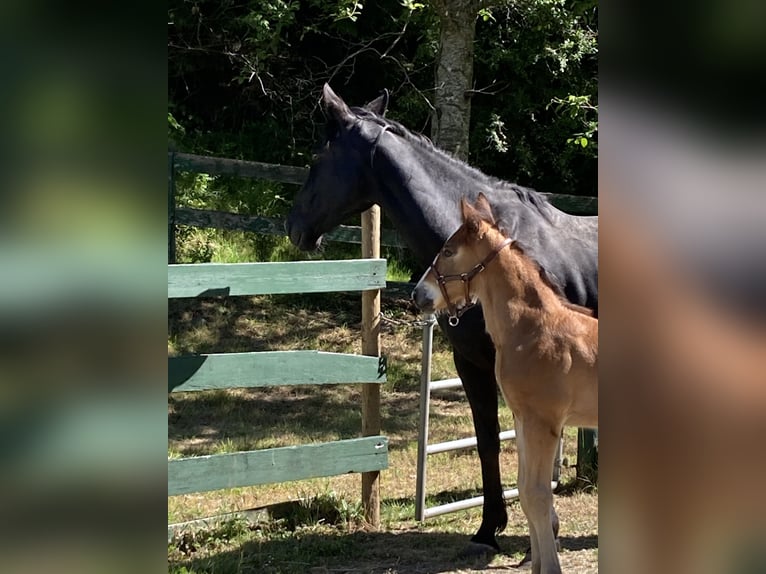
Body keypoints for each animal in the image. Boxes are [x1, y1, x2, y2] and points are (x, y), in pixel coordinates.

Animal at [412, 193, 598, 574]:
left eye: (449, 250)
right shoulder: (523, 420)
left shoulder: (544, 423)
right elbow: (526, 493)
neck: (534, 330)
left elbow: (538, 495)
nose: (418, 294)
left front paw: (551, 568)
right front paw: (537, 564)